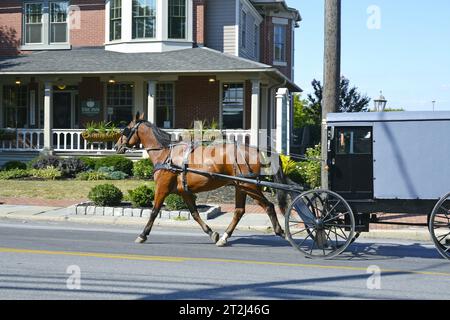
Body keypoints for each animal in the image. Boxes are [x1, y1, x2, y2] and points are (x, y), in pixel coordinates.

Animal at [114, 112, 286, 248]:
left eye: (126, 129)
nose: (116, 146)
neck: (165, 154)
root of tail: (255, 150)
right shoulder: (184, 192)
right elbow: (195, 214)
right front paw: (212, 233)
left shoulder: (162, 188)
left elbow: (154, 211)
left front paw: (143, 235)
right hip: (241, 186)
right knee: (239, 211)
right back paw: (224, 237)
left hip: (249, 185)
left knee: (269, 206)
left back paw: (281, 232)